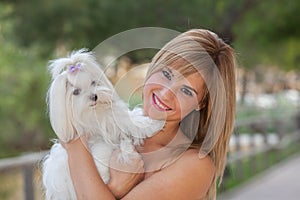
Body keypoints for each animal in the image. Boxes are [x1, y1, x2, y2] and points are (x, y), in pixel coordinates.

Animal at [42, 48, 163, 200]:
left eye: (93, 83)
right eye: (76, 92)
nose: (94, 96)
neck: (94, 115)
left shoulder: (112, 118)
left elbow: (129, 120)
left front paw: (153, 123)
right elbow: (103, 150)